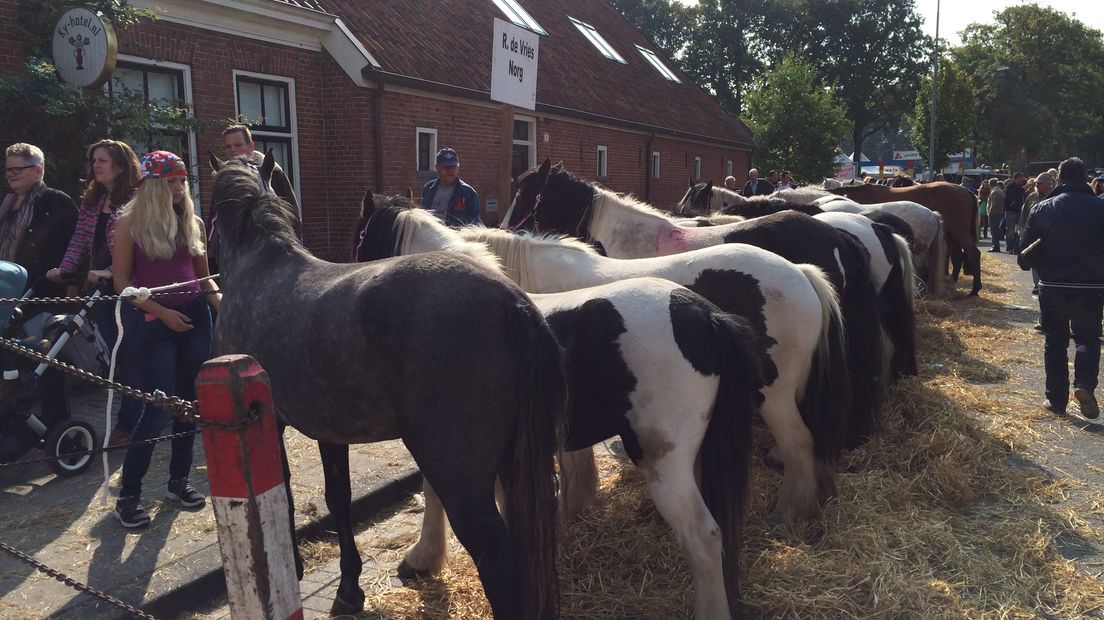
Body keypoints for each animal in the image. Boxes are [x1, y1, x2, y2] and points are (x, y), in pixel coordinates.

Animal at [208, 152, 569, 613]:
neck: (262, 266)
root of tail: (515, 304)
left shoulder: (274, 425)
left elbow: (286, 492)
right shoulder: (329, 432)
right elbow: (338, 499)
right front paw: (348, 587)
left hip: (462, 479)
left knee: (500, 562)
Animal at [357, 194, 763, 617]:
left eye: (362, 236)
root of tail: (706, 315)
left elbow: (435, 492)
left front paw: (421, 558)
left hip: (663, 462)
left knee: (703, 535)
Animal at [830, 180, 980, 293]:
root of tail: (967, 191)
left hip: (958, 231)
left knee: (973, 253)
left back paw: (974, 290)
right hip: (951, 235)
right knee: (957, 256)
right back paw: (952, 283)